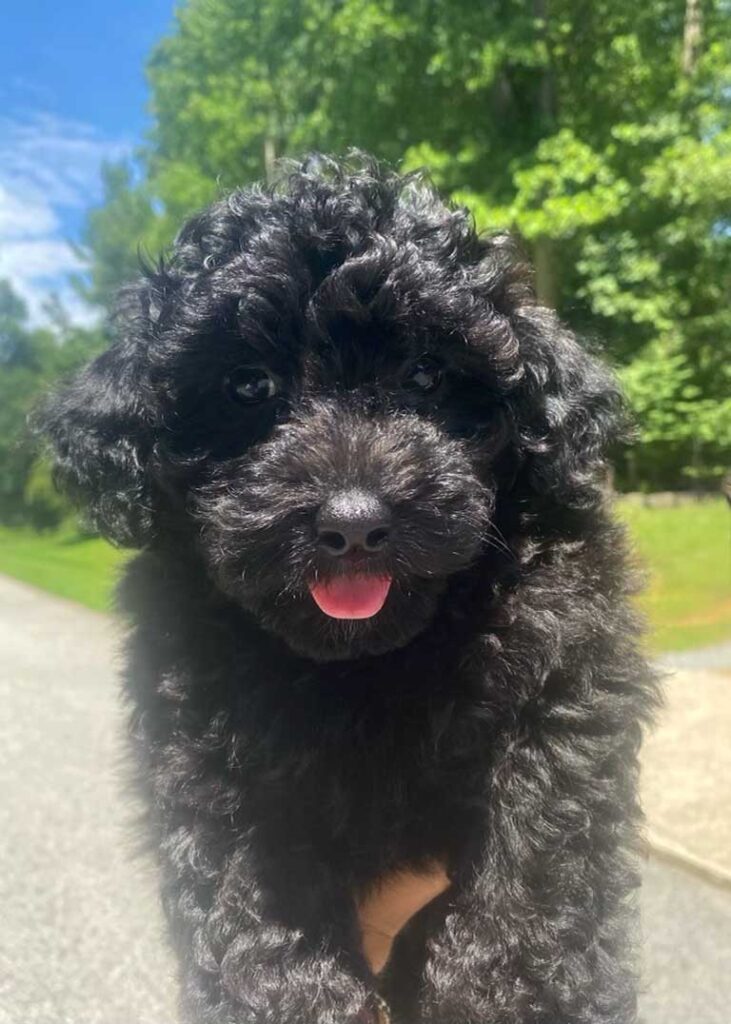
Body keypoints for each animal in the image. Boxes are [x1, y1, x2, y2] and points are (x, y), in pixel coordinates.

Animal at [39, 153, 655, 1024]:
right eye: (247, 386)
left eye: (428, 374)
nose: (354, 523)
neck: (366, 661)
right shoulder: (203, 741)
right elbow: (249, 898)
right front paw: (295, 997)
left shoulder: (566, 680)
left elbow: (540, 850)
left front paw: (513, 994)